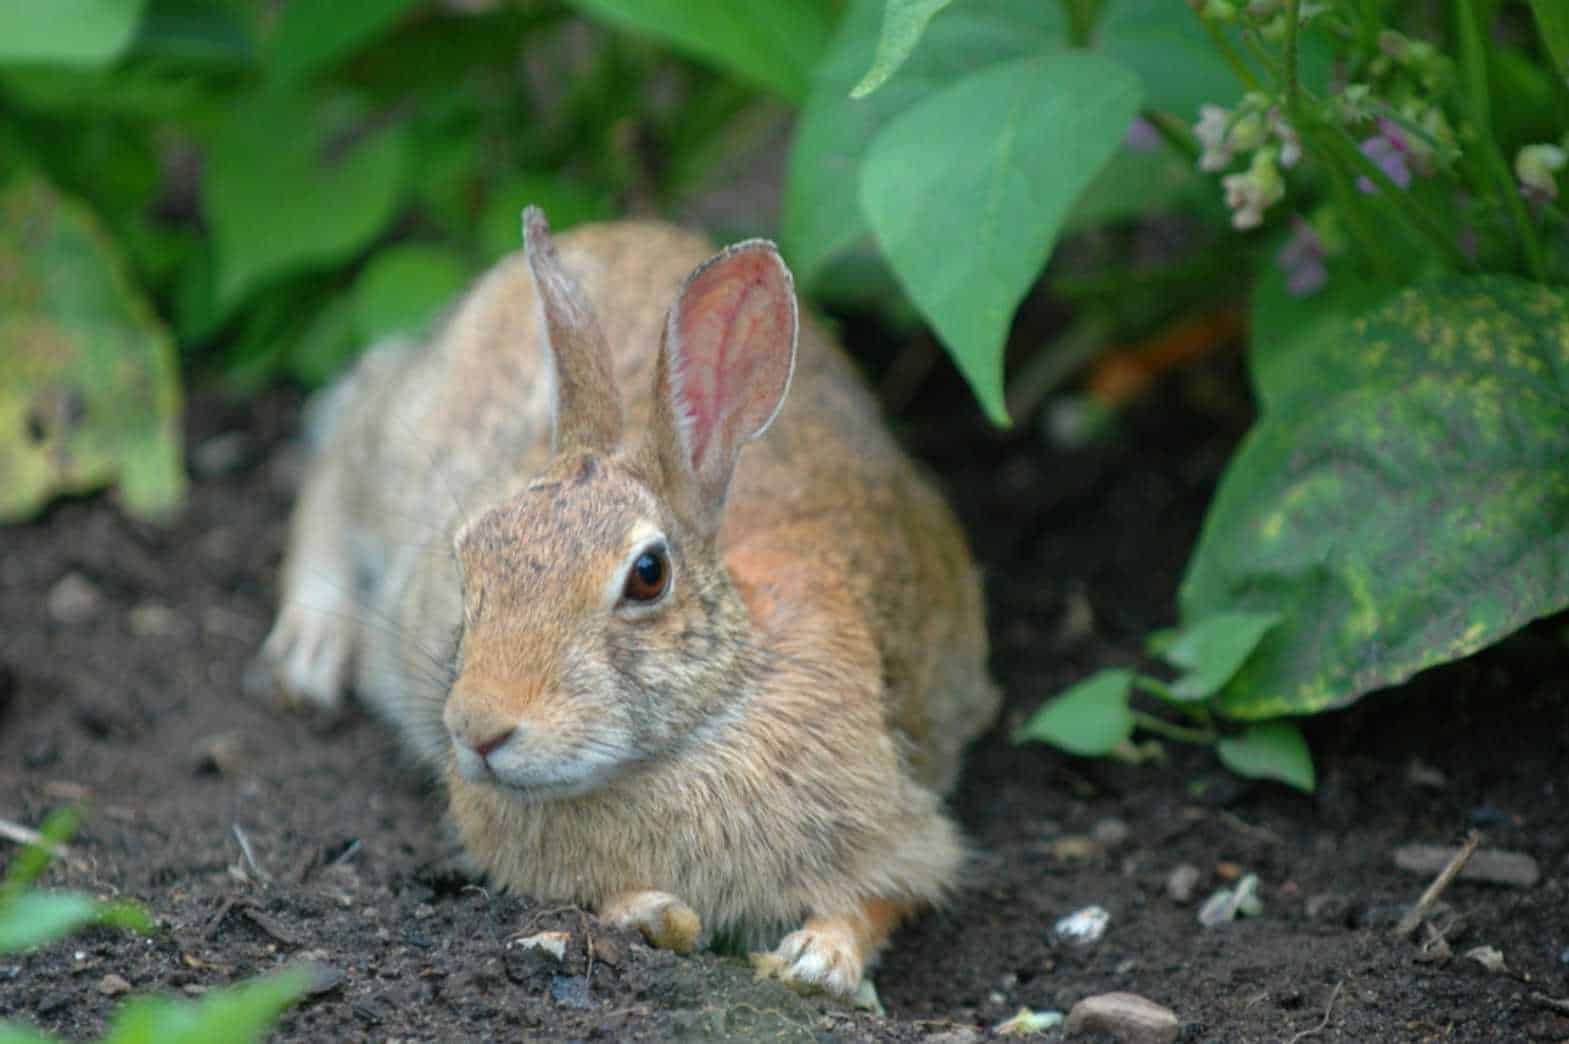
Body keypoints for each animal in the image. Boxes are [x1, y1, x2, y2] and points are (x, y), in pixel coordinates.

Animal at [254, 205, 991, 992]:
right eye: (469, 557)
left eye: (647, 574)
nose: (476, 731)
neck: (696, 732)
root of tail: (617, 231)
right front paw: (659, 916)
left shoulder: (906, 820)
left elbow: (885, 896)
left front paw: (817, 960)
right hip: (400, 438)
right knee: (341, 448)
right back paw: (310, 646)